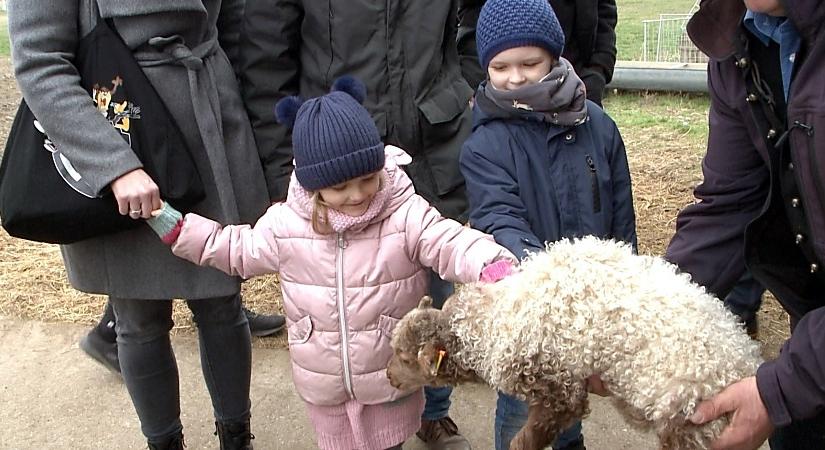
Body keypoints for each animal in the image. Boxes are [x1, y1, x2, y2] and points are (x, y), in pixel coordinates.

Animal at [390, 237, 764, 448]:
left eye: (407, 359)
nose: (389, 377)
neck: (494, 322)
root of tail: (746, 363)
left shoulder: (560, 389)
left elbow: (525, 441)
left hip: (691, 427)